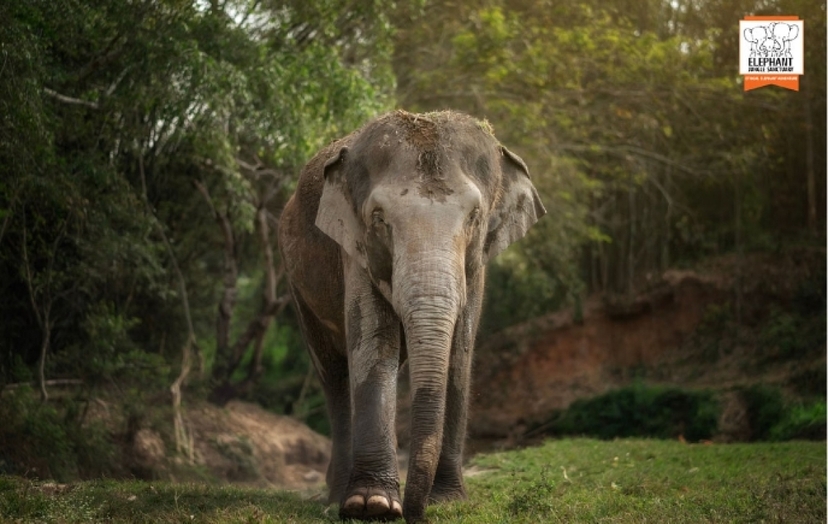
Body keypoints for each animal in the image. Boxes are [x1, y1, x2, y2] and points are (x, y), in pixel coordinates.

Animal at [278, 110, 545, 522]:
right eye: (378, 218)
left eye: (475, 216)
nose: (415, 514)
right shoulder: (353, 247)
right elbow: (374, 345)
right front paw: (372, 506)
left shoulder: (476, 266)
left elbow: (459, 353)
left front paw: (447, 502)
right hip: (296, 284)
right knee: (333, 375)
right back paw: (336, 496)